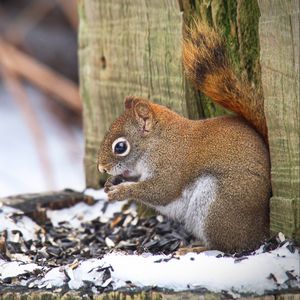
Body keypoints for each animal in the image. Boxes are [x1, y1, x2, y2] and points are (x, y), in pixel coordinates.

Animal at [97, 24, 270, 253]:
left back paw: (197, 248)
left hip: (218, 208)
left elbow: (161, 190)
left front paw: (121, 191)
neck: (159, 142)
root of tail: (261, 229)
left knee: (227, 245)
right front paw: (112, 182)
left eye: (120, 147)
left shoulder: (172, 165)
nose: (102, 168)